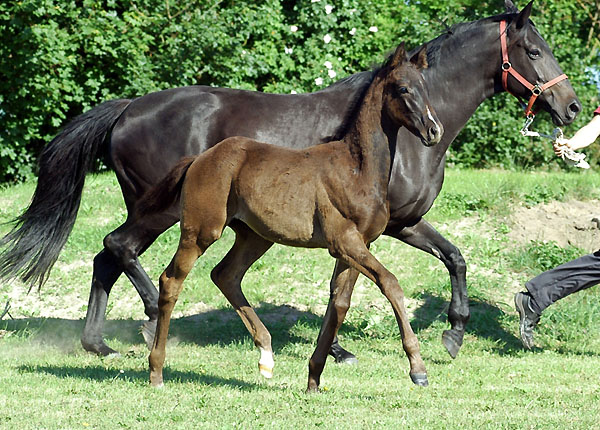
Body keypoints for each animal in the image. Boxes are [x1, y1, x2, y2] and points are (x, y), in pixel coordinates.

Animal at [146, 43, 440, 390]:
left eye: (426, 87)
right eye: (404, 88)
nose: (434, 130)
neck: (357, 169)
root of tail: (199, 159)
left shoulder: (359, 244)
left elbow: (340, 303)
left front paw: (314, 376)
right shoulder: (344, 241)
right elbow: (390, 283)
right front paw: (418, 368)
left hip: (255, 236)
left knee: (225, 275)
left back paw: (266, 356)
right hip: (201, 230)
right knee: (171, 281)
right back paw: (156, 371)